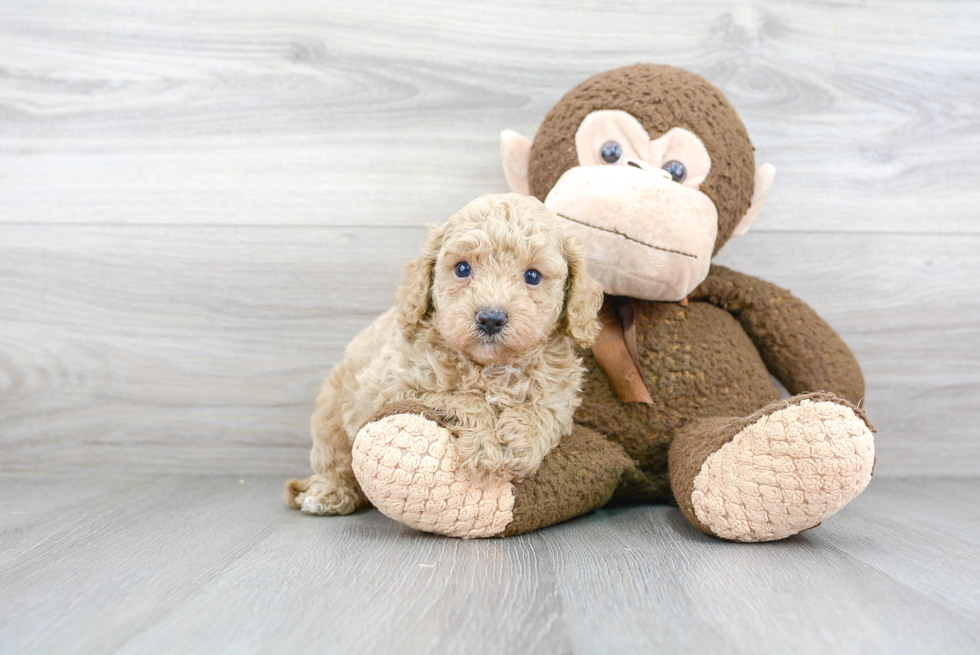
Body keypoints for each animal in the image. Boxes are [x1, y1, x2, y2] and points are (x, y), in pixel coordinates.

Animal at [286, 192, 604, 516]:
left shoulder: (559, 398)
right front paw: (485, 446)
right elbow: (460, 397)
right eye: (462, 269)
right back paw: (328, 492)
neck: (490, 367)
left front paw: (517, 443)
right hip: (332, 416)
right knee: (335, 463)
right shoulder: (391, 390)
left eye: (533, 276)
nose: (491, 318)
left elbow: (540, 412)